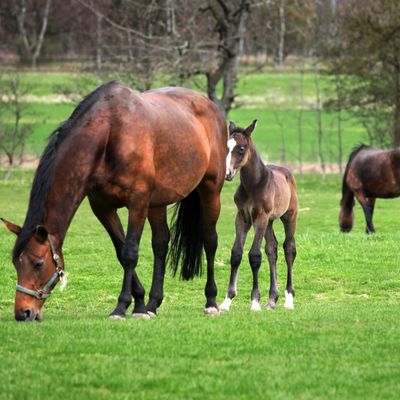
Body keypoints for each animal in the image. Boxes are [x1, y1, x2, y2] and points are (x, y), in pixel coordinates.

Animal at [2, 81, 228, 322]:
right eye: (15, 262)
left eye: (38, 263)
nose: (23, 312)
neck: (110, 133)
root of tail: (210, 105)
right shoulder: (103, 208)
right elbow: (121, 252)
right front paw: (139, 304)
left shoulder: (137, 202)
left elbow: (130, 252)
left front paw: (121, 307)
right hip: (157, 203)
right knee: (160, 243)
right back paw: (153, 304)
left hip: (210, 190)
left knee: (210, 240)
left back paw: (211, 302)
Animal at [219, 120, 296, 310]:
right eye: (226, 147)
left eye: (241, 148)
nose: (227, 174)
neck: (253, 185)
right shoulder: (242, 217)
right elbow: (236, 253)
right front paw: (226, 301)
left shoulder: (260, 217)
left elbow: (254, 255)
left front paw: (254, 302)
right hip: (269, 221)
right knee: (272, 249)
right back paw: (272, 299)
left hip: (289, 216)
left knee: (289, 248)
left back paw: (289, 299)